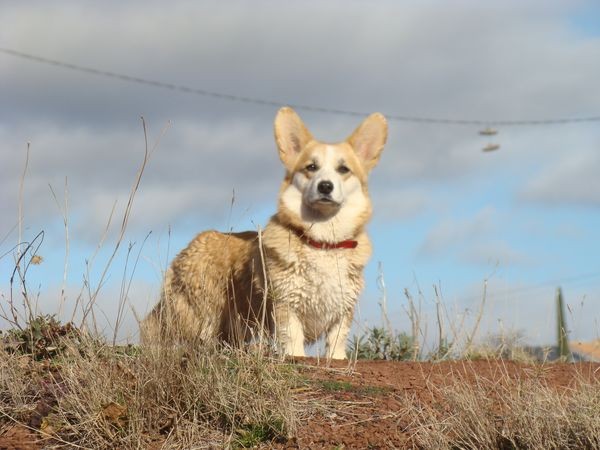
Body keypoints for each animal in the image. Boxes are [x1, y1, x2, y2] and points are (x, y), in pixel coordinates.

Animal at [142, 107, 386, 360]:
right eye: (311, 167)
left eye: (343, 169)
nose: (325, 186)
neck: (322, 241)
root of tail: (188, 247)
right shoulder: (287, 306)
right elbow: (294, 344)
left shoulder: (342, 313)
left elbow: (336, 346)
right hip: (197, 315)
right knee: (160, 328)